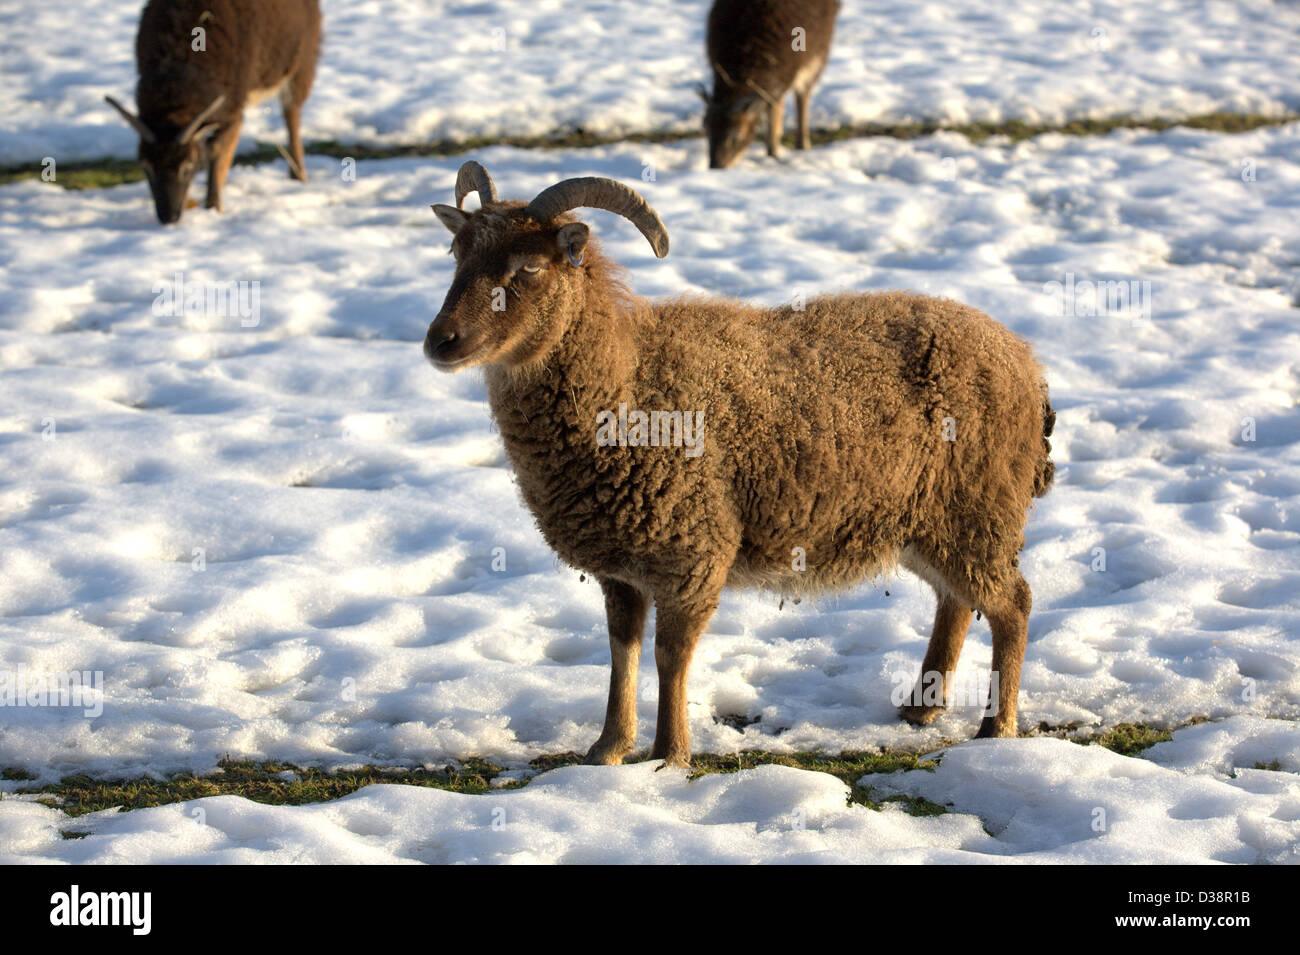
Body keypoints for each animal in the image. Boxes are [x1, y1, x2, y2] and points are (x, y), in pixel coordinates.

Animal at [104, 0, 322, 223]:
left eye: (189, 165)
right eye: (145, 166)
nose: (169, 217)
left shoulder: (232, 100)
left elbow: (216, 149)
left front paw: (213, 206)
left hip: (301, 62)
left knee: (291, 114)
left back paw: (297, 174)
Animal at [426, 160, 1055, 764]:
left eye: (530, 268)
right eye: (457, 253)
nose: (439, 341)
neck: (628, 377)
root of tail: (1024, 359)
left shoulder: (694, 550)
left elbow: (670, 655)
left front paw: (668, 756)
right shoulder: (621, 568)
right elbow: (621, 651)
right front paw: (607, 750)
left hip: (978, 508)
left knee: (1013, 605)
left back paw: (997, 727)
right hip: (928, 522)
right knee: (956, 602)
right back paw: (923, 709)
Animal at [707, 0, 837, 167]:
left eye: (736, 138)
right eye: (706, 131)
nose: (716, 166)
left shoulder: (782, 76)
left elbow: (774, 111)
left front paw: (773, 153)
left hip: (817, 54)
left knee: (803, 94)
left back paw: (802, 144)